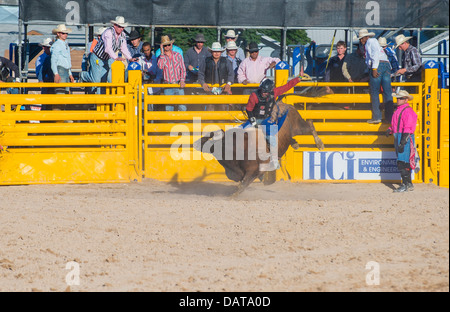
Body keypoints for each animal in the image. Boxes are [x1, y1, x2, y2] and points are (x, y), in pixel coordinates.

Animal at [193, 100, 324, 195]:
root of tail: (283, 104)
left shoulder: (254, 171)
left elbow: (242, 186)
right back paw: (295, 144)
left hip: (298, 126)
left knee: (310, 125)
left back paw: (319, 144)